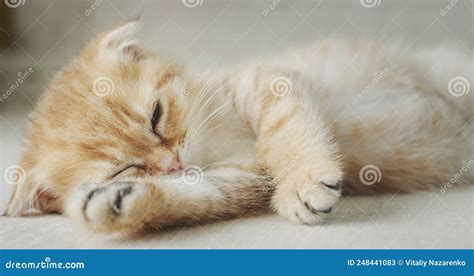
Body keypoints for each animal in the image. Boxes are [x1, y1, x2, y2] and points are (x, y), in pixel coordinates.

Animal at [2, 20, 470, 234]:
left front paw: (303, 181)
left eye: (155, 115)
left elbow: (286, 129)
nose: (173, 162)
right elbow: (200, 195)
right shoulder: (243, 177)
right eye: (123, 169)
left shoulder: (267, 81)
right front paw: (118, 203)